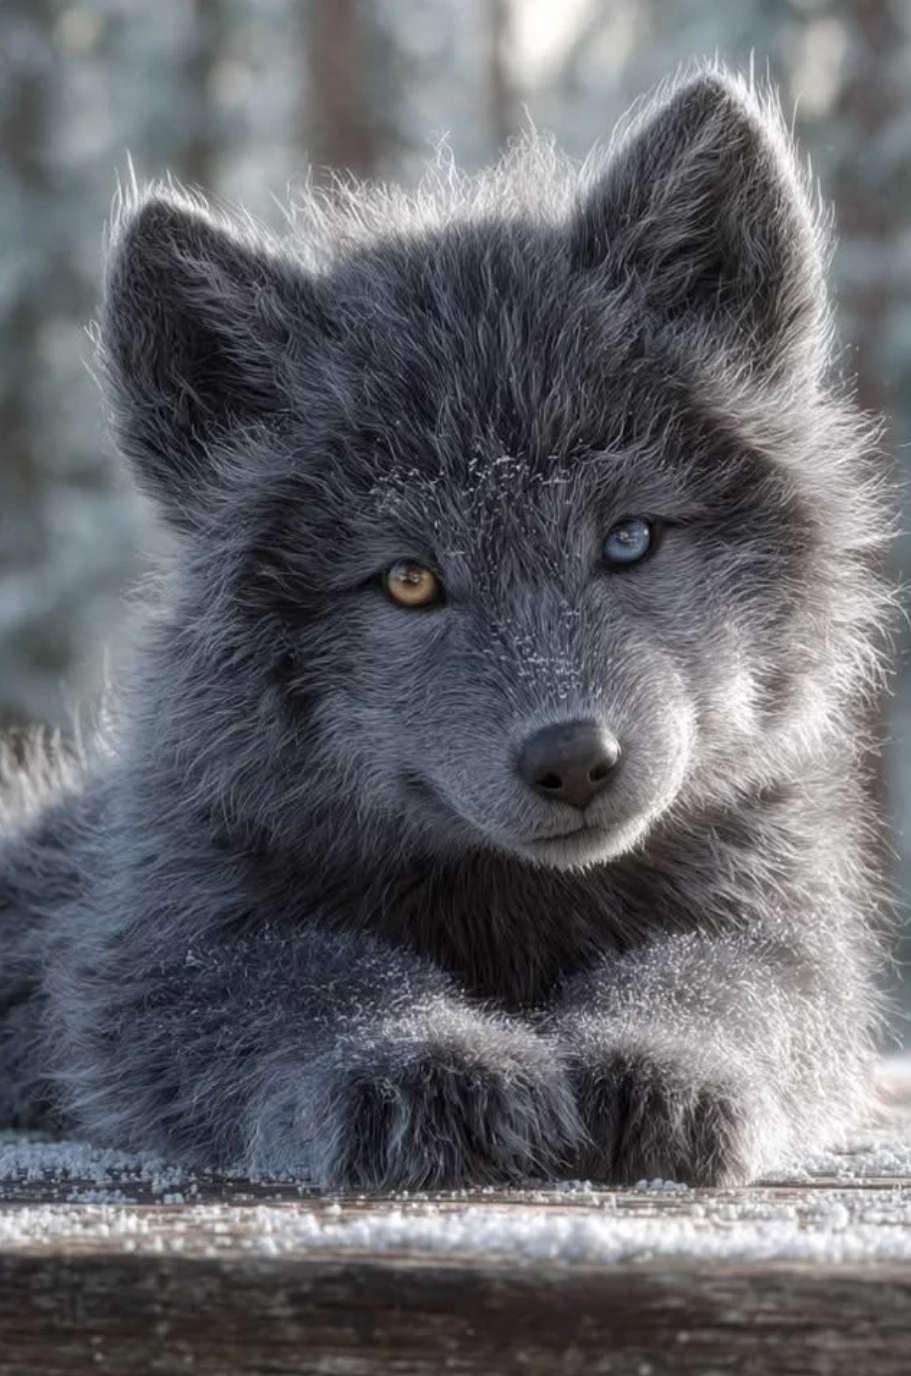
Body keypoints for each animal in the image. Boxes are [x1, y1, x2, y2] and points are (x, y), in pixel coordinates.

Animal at [0, 66, 893, 1189]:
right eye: (410, 580)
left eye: (629, 538)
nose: (571, 756)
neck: (514, 903)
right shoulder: (152, 957)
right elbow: (317, 979)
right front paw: (422, 1057)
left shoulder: (781, 928)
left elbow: (719, 980)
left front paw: (657, 1055)